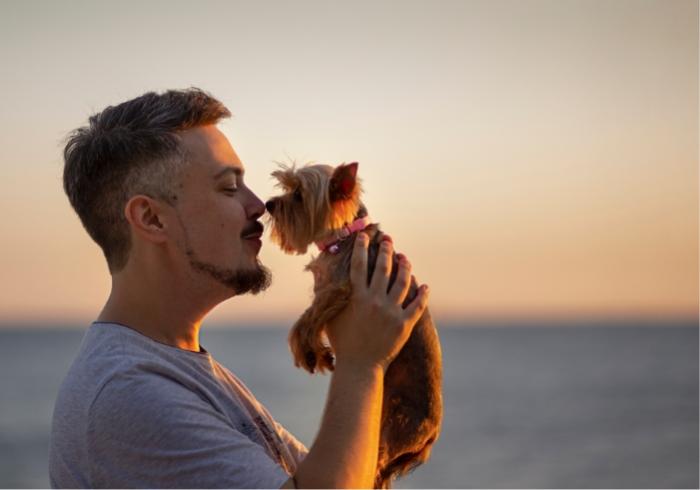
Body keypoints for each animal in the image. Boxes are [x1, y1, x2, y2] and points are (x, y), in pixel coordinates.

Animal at [266, 162, 440, 490]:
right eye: (285, 187)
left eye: (298, 194)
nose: (269, 204)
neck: (343, 236)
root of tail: (429, 439)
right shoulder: (327, 287)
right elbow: (310, 315)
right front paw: (318, 353)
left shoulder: (339, 287)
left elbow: (307, 318)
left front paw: (306, 349)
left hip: (393, 426)